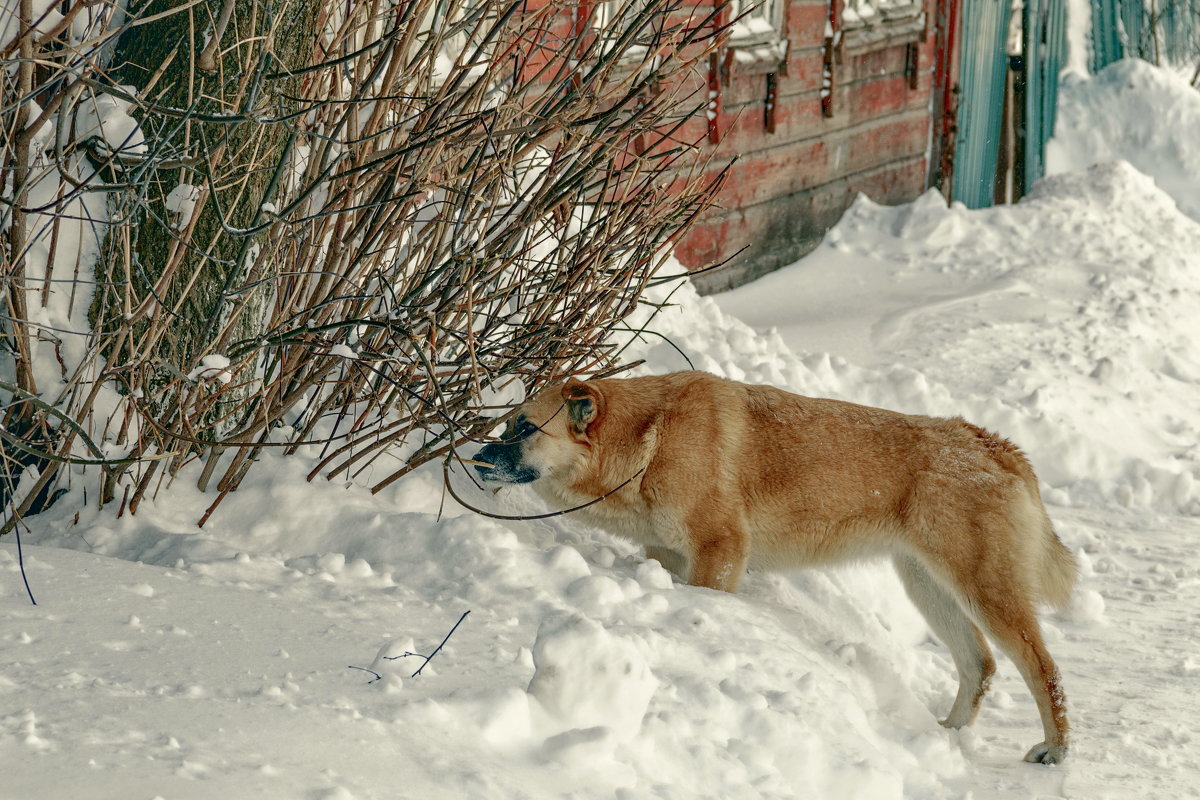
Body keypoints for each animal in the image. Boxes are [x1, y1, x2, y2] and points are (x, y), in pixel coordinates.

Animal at [475, 371, 1080, 762]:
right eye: (505, 427)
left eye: (525, 429)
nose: (477, 459)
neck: (650, 439)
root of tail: (994, 444)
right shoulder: (666, 555)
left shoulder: (719, 553)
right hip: (928, 587)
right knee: (980, 664)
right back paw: (944, 737)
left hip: (984, 591)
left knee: (1043, 670)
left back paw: (1054, 750)